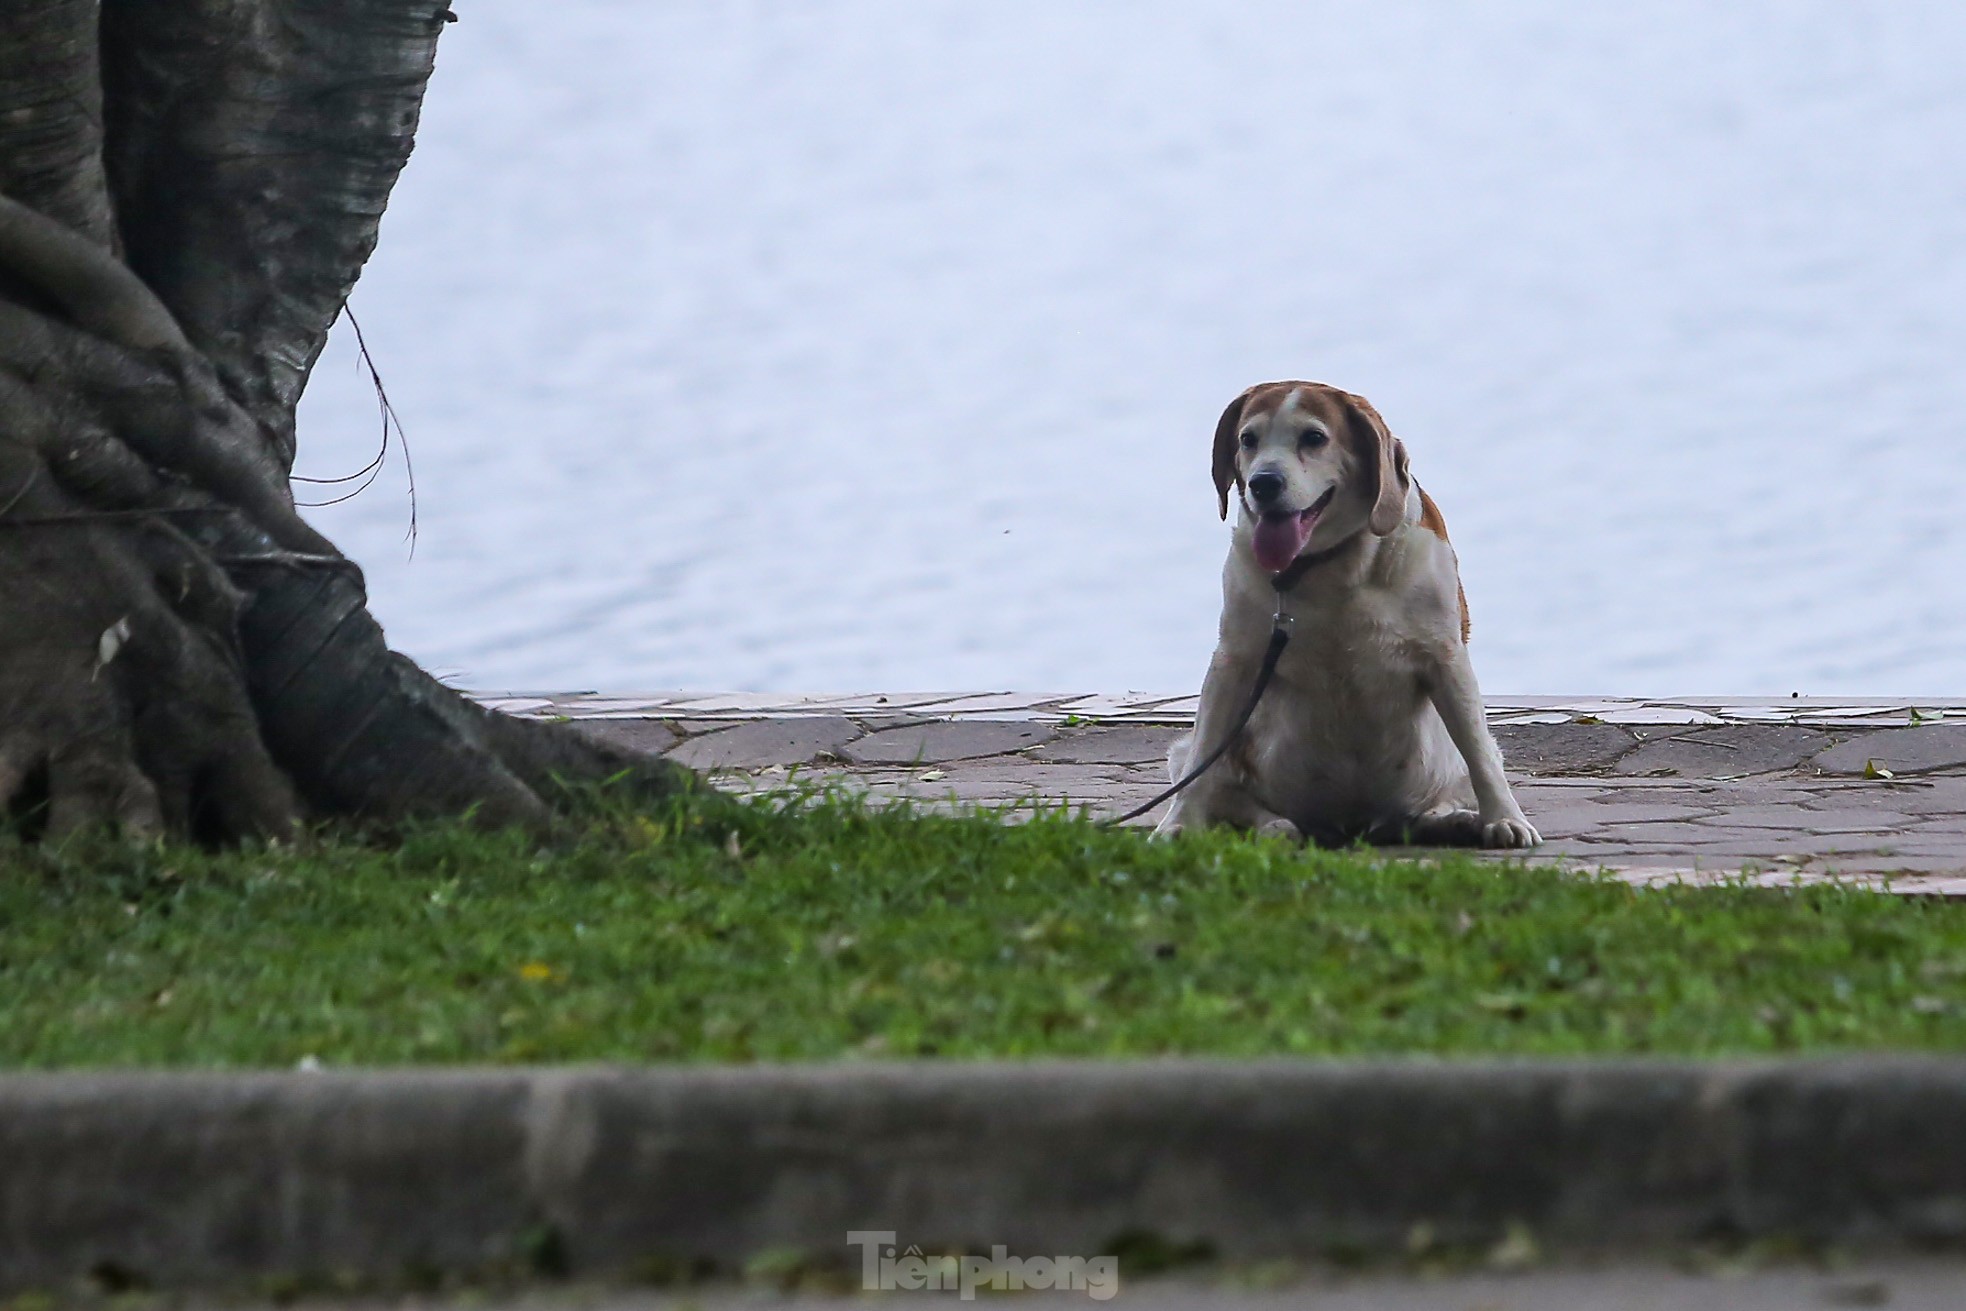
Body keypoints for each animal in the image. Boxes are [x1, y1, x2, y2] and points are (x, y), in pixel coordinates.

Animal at [1148, 379, 1549, 853]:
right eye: (1248, 439)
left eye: (1314, 438)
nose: (1264, 483)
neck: (1328, 564)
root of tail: (1355, 825)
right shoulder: (1233, 663)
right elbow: (1201, 768)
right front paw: (1177, 825)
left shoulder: (1446, 657)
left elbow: (1481, 757)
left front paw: (1504, 818)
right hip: (1200, 752)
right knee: (1226, 790)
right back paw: (1275, 826)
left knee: (1448, 788)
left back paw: (1455, 821)